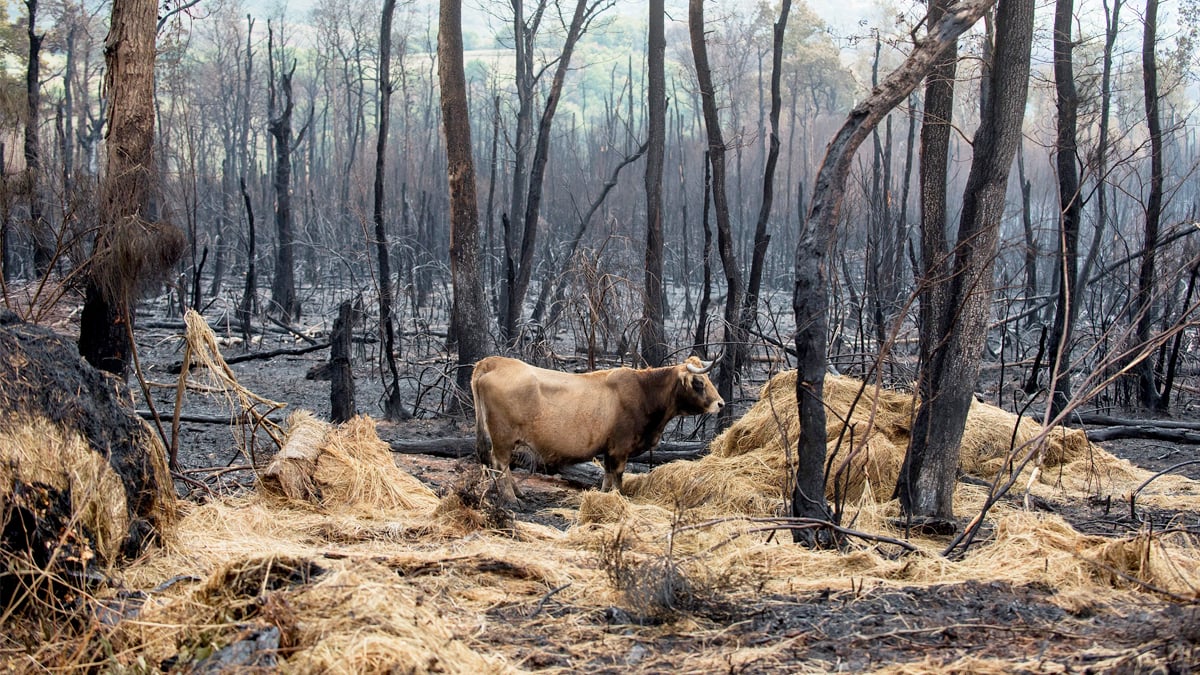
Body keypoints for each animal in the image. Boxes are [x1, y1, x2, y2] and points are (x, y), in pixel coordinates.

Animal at [472, 353, 724, 499]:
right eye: (699, 382)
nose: (720, 403)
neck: (644, 392)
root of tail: (493, 362)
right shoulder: (620, 448)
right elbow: (618, 477)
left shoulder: (608, 449)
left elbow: (607, 476)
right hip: (503, 438)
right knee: (500, 464)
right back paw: (511, 499)